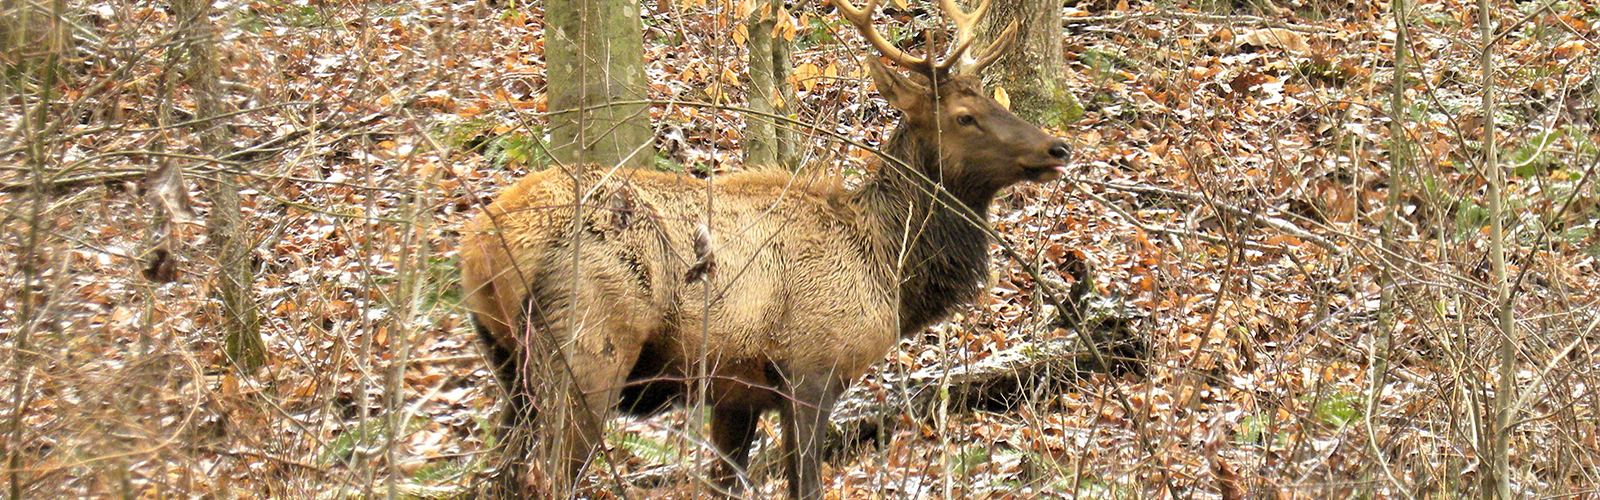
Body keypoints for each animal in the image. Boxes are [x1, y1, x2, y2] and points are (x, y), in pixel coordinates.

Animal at [458, 0, 1071, 497]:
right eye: (965, 117)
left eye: (995, 100)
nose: (1058, 147)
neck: (887, 267)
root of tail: (484, 244)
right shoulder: (811, 371)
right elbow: (806, 486)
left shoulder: (737, 390)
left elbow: (724, 483)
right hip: (587, 352)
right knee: (551, 475)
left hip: (508, 364)